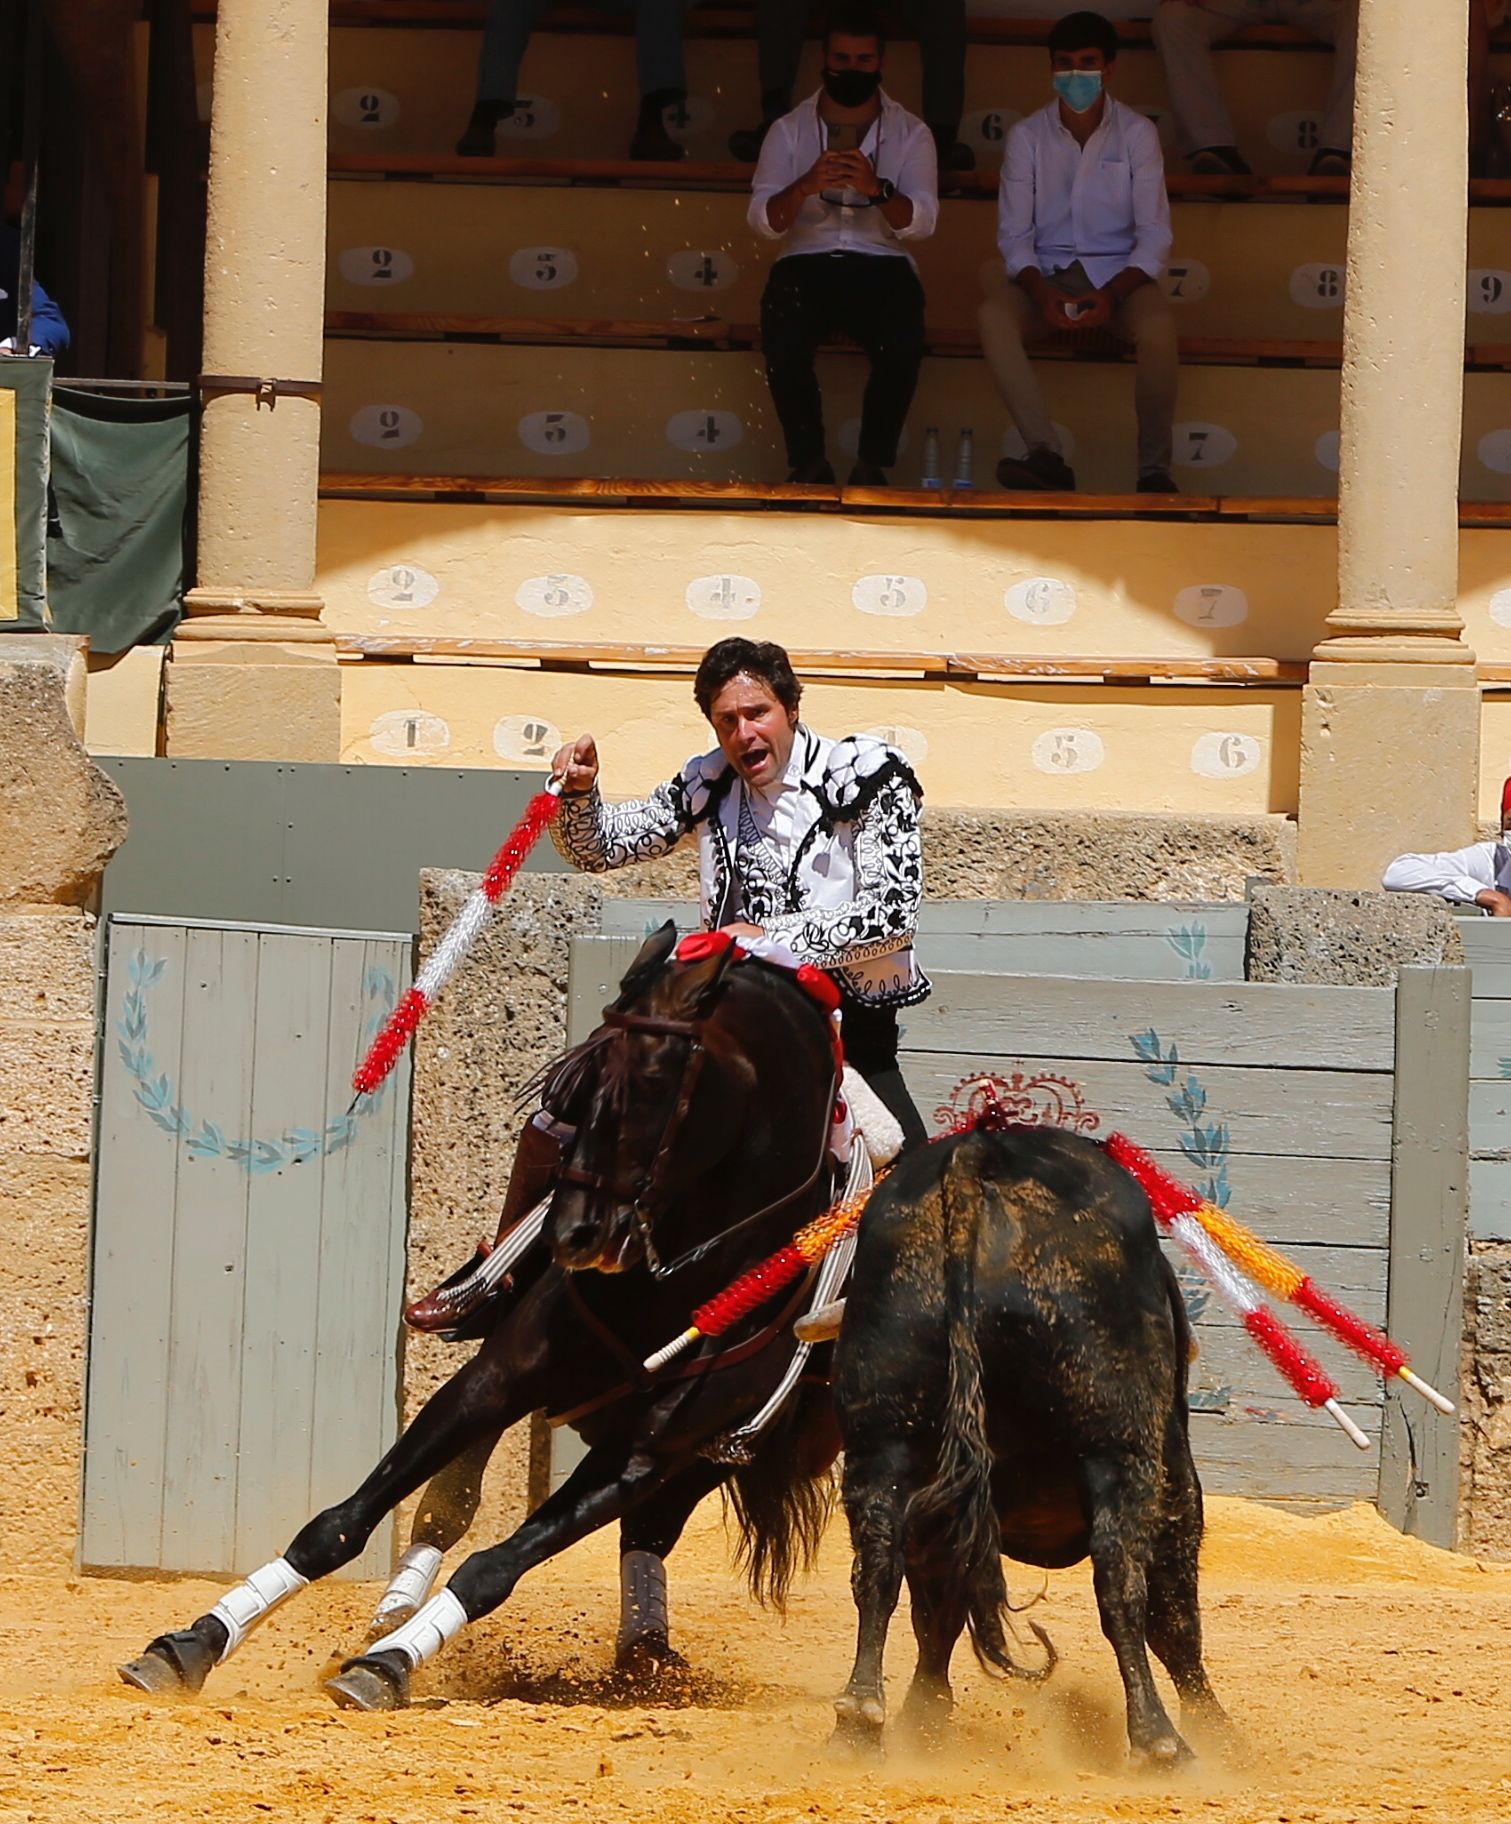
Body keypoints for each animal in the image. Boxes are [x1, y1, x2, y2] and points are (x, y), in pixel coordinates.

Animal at [114, 926, 850, 1707]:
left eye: (652, 1080)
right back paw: (403, 1604)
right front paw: (195, 1640)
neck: (678, 1267)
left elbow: (496, 1566)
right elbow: (339, 1525)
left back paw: (642, 1654)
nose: (574, 1233)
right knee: (460, 1500)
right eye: (576, 1081)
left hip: (712, 1457)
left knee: (645, 1533)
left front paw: (388, 1666)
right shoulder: (498, 1377)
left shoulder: (647, 1452)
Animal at [832, 1123, 1233, 1765]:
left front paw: (925, 1718)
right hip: (1118, 1446)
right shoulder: (1170, 1477)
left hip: (881, 1434)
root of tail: (983, 1151)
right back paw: (1159, 1741)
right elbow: (1172, 1612)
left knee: (879, 1564)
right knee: (1121, 1581)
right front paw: (1218, 1734)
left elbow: (938, 1598)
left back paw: (859, 1718)